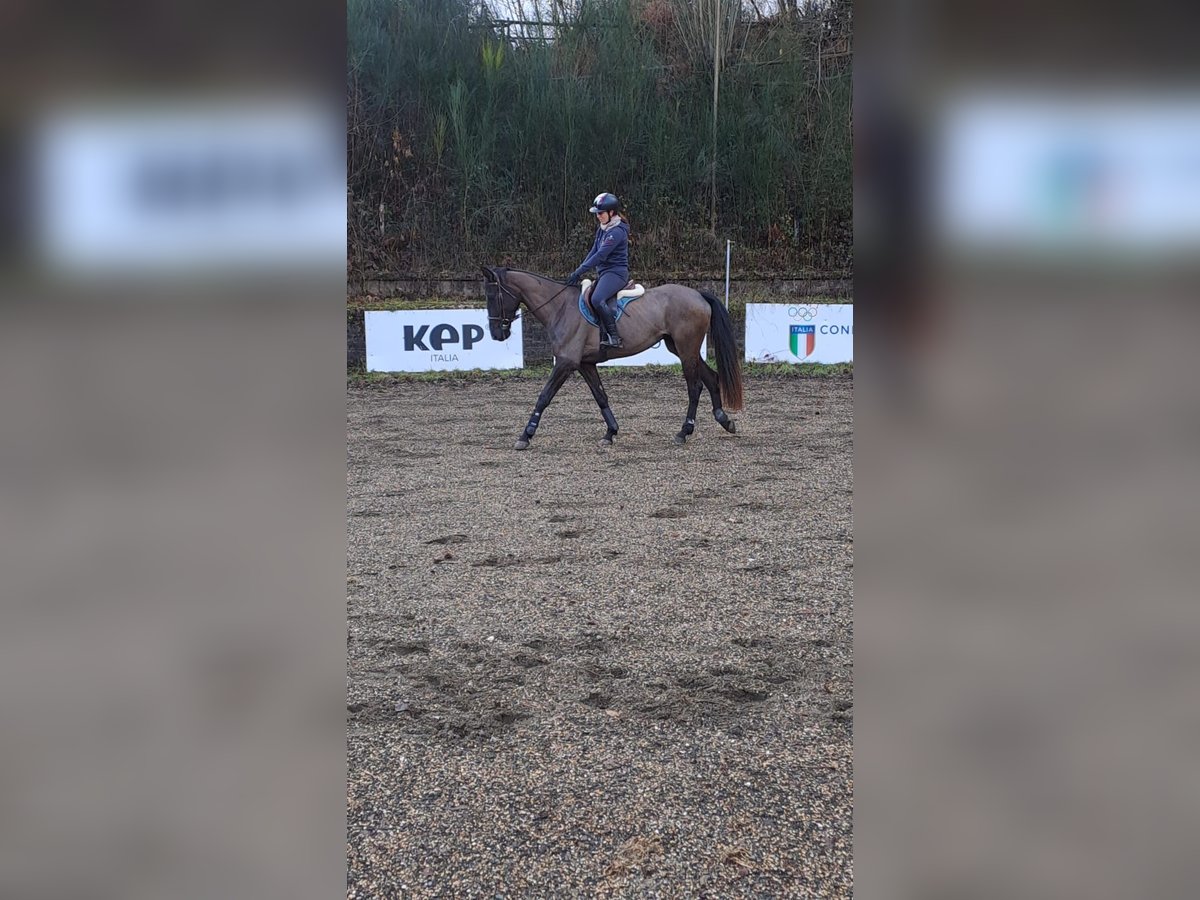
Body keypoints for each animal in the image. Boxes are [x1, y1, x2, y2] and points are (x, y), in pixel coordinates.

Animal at [481, 266, 743, 450]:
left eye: (493, 296)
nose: (496, 334)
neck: (560, 307)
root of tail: (698, 294)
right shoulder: (585, 364)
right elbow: (600, 396)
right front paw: (611, 432)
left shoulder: (566, 363)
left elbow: (543, 397)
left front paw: (525, 435)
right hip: (680, 347)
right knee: (711, 378)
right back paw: (724, 420)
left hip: (686, 347)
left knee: (695, 386)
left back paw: (684, 431)